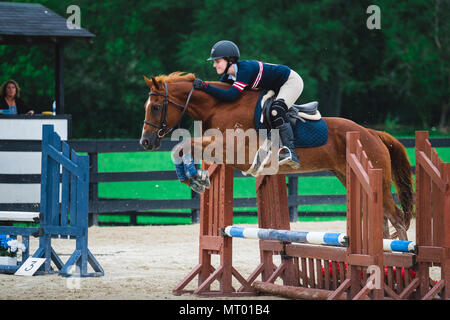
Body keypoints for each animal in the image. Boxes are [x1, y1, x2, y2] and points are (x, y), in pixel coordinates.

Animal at [139, 72, 414, 240]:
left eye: (156, 107)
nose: (145, 142)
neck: (219, 106)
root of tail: (372, 133)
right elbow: (183, 147)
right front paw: (196, 178)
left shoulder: (235, 150)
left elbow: (184, 145)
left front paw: (196, 178)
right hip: (347, 176)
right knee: (384, 219)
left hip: (374, 177)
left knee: (398, 218)